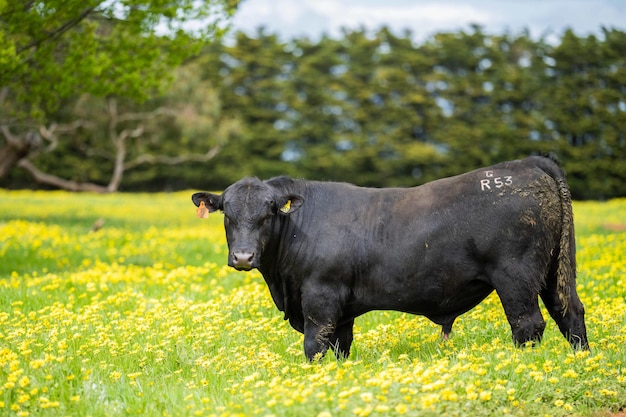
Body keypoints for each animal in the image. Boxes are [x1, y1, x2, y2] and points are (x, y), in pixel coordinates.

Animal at [193, 157, 588, 360]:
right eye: (228, 214)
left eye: (269, 213)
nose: (243, 256)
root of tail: (527, 164)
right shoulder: (343, 307)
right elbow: (340, 344)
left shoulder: (320, 296)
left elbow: (315, 342)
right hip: (552, 273)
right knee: (570, 312)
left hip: (515, 276)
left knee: (528, 324)